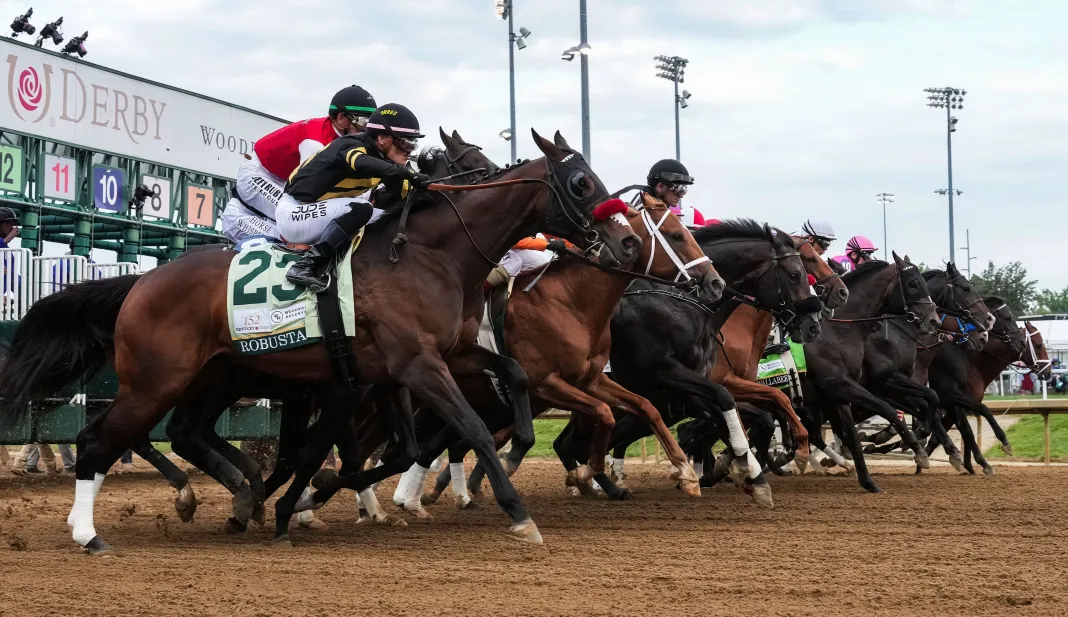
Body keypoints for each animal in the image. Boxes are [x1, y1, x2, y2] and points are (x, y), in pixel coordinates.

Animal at [0, 130, 644, 552]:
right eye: (581, 182)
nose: (629, 243)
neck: (428, 252)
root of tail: (142, 282)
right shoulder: (412, 367)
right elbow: (466, 431)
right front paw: (518, 513)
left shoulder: (420, 363)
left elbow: (464, 407)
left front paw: (308, 501)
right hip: (157, 379)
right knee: (99, 438)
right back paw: (91, 531)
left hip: (204, 377)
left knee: (175, 434)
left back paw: (235, 496)